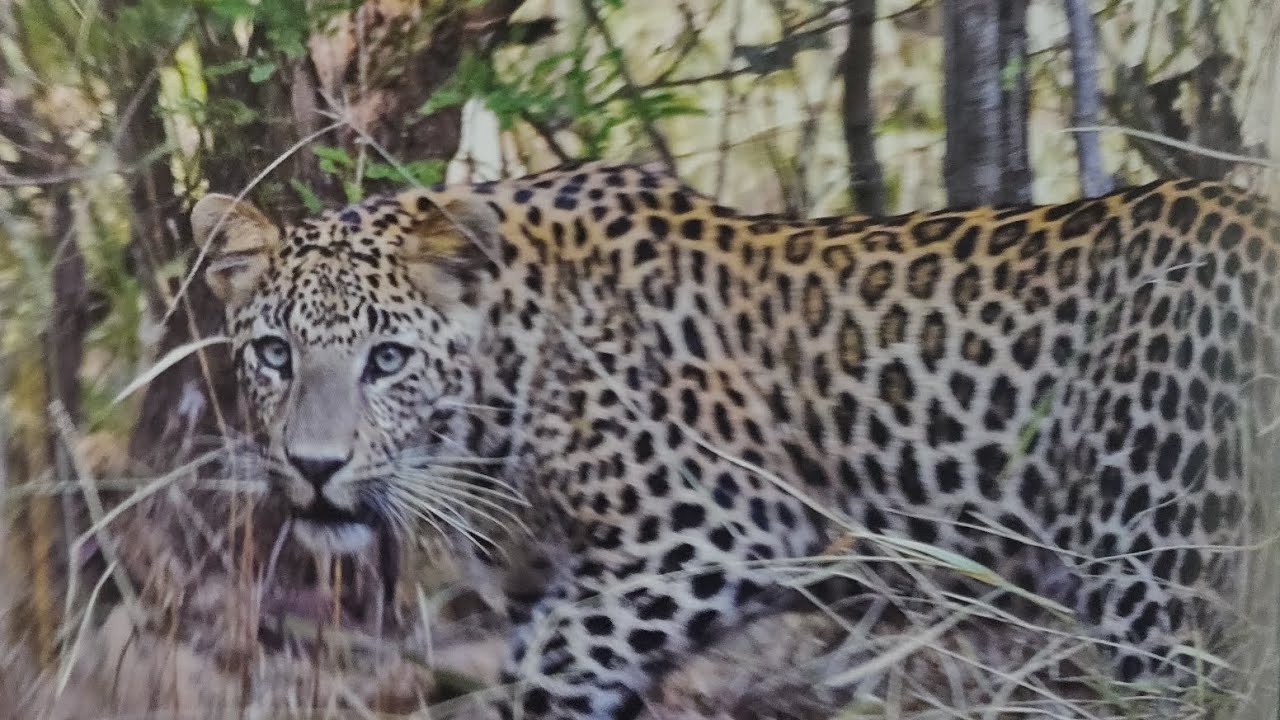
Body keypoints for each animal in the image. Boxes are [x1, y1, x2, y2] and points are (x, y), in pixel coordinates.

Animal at [194, 160, 1279, 719]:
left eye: (385, 359)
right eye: (275, 353)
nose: (315, 468)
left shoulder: (716, 533)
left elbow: (551, 670)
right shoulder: (561, 584)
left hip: (1163, 578)